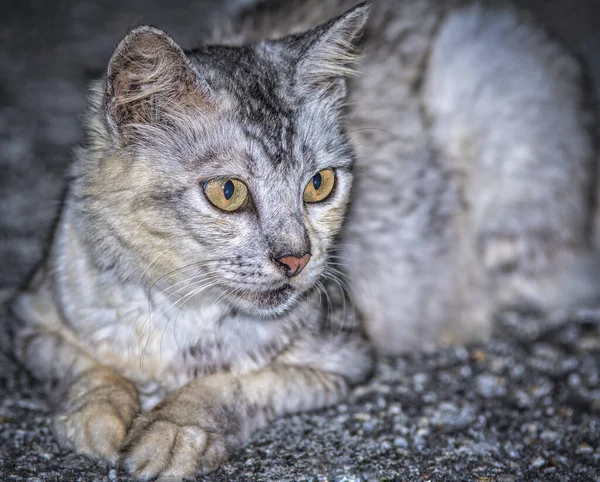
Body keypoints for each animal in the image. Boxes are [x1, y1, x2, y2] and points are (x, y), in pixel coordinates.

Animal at [10, 0, 600, 478]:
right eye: (227, 192)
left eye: (319, 185)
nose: (296, 259)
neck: (174, 319)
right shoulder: (29, 322)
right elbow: (89, 372)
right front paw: (98, 420)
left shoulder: (343, 357)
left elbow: (231, 385)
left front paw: (173, 432)